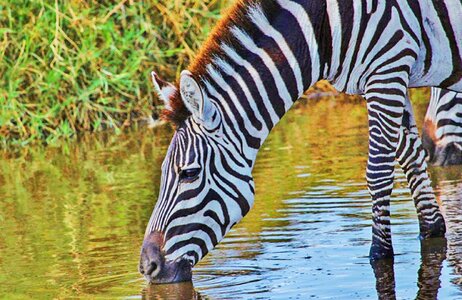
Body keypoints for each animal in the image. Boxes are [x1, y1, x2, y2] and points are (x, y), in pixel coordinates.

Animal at [139, 0, 460, 284]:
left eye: (189, 173)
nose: (146, 267)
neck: (324, 26)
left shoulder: (388, 69)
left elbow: (378, 172)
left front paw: (380, 254)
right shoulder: (388, 78)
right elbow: (410, 155)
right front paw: (432, 227)